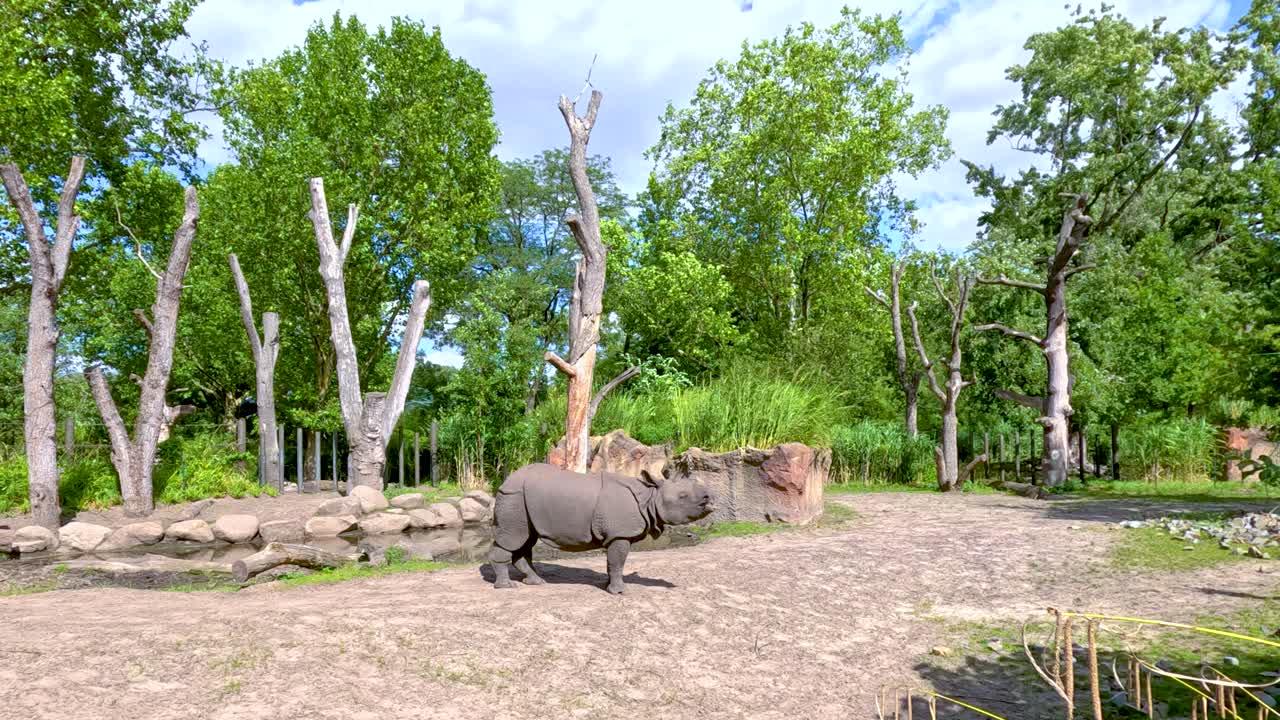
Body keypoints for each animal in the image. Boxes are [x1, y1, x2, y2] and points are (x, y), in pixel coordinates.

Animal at [488, 462, 714, 593]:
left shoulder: (615, 535)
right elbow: (618, 562)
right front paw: (620, 592)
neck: (649, 497)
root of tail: (505, 480)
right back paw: (506, 587)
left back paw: (536, 582)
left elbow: (611, 563)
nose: (709, 497)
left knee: (526, 540)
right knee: (513, 538)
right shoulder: (620, 534)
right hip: (514, 496)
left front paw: (609, 587)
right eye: (683, 496)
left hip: (523, 499)